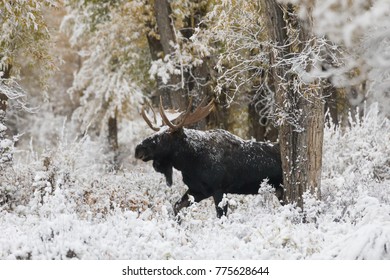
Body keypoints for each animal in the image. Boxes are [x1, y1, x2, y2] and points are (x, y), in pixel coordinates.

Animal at [135, 97, 284, 218]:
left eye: (164, 136)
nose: (138, 149)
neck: (189, 163)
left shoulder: (219, 189)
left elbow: (221, 217)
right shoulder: (198, 190)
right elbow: (176, 206)